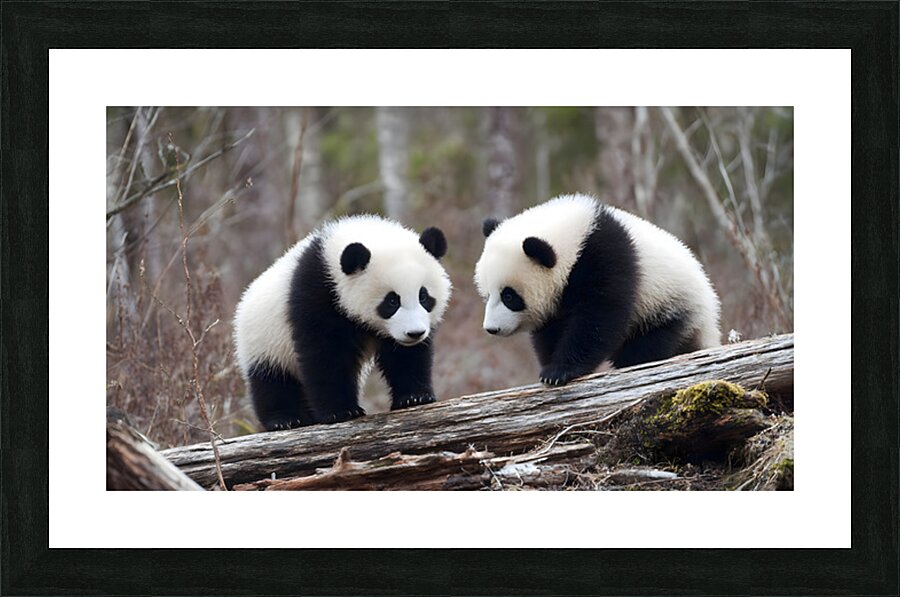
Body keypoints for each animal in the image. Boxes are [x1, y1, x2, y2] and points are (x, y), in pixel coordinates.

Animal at [233, 215, 452, 430]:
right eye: (391, 301)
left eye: (423, 296)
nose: (415, 333)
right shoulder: (316, 295)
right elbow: (324, 354)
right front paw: (341, 412)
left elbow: (406, 356)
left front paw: (414, 398)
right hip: (264, 339)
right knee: (271, 380)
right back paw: (285, 419)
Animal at [474, 193, 720, 386]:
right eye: (487, 295)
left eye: (509, 296)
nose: (491, 329)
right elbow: (552, 328)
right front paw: (549, 365)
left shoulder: (605, 258)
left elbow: (599, 316)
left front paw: (559, 371)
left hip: (669, 303)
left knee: (653, 340)